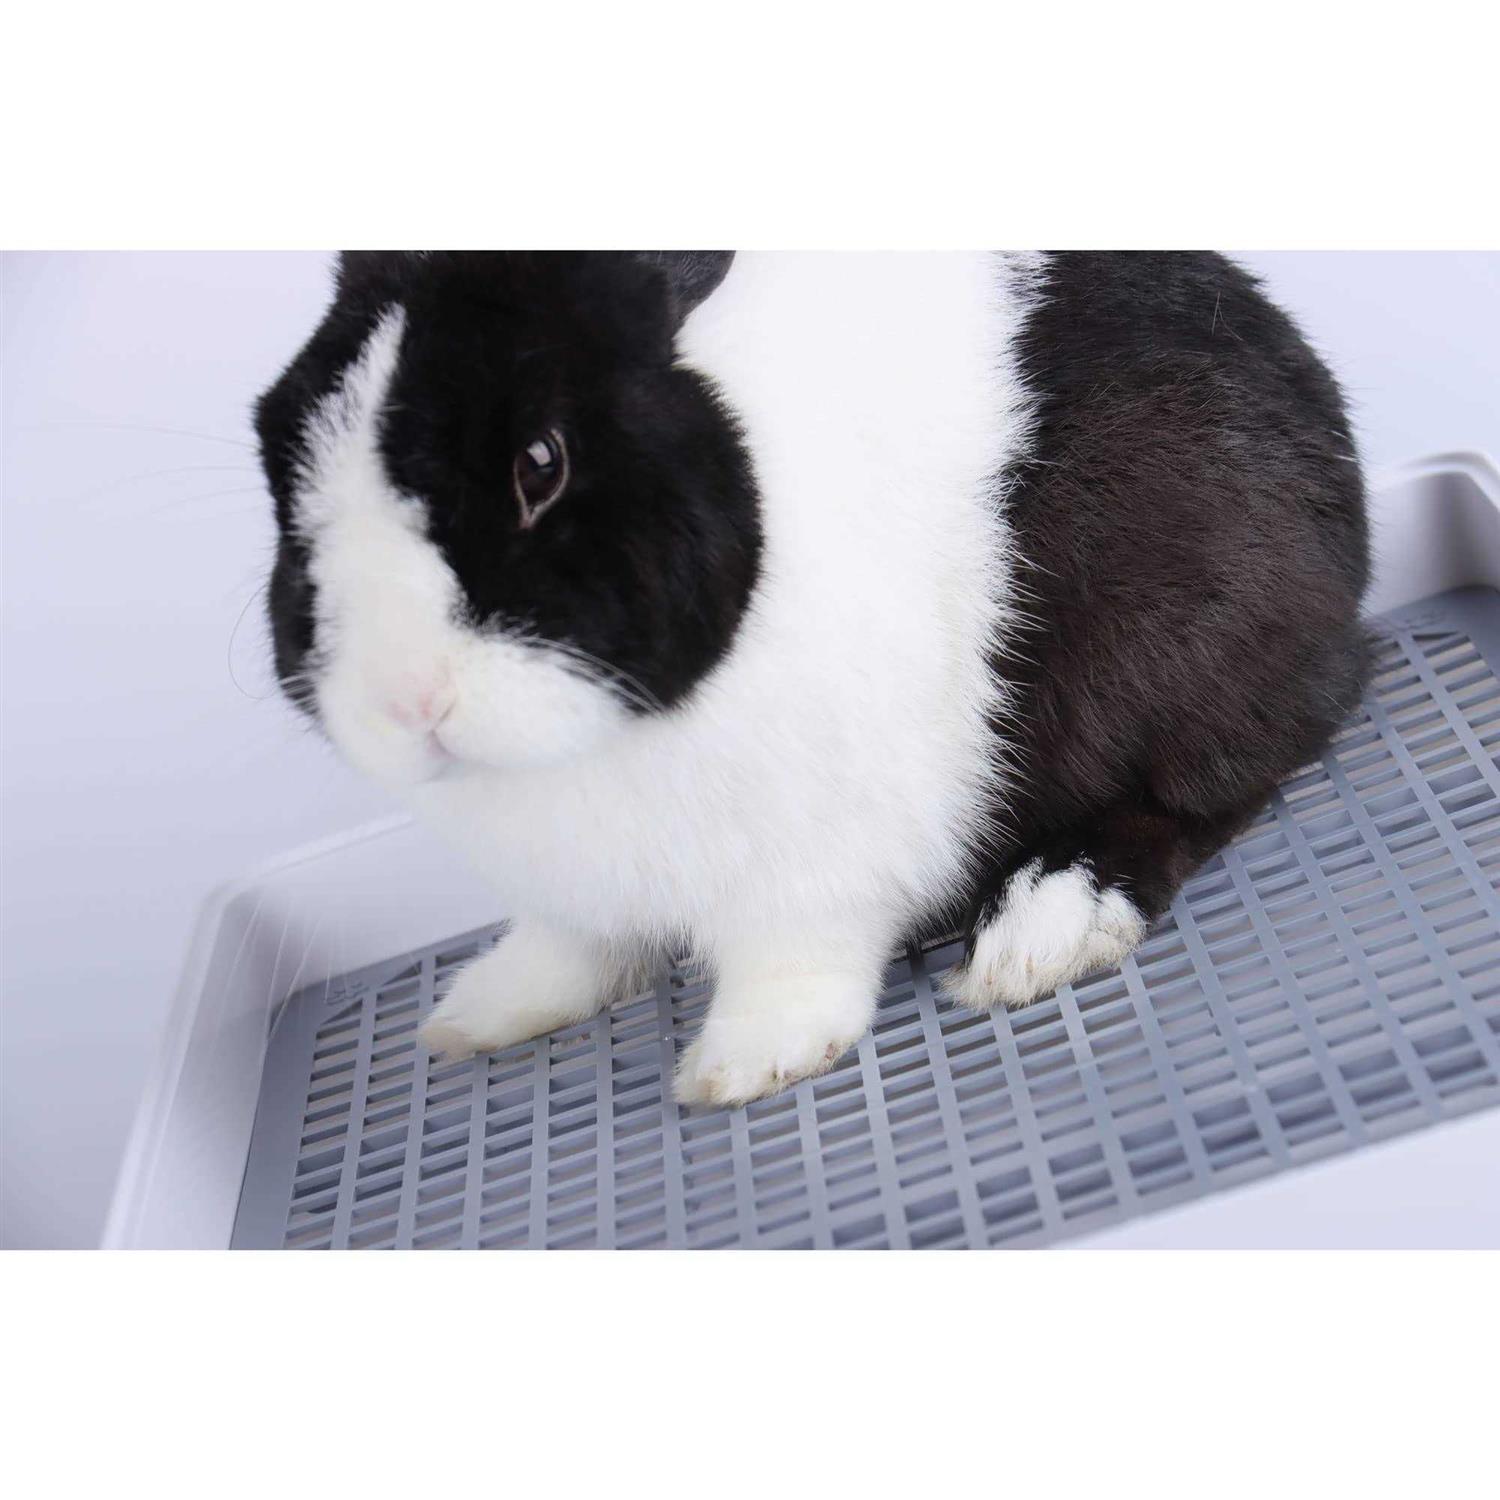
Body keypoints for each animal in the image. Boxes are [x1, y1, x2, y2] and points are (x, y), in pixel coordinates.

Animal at [255, 251, 1369, 1106]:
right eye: (283, 446)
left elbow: (791, 958)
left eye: (542, 462)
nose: (406, 697)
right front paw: (479, 1013)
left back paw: (1046, 927)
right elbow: (568, 948)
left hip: (1183, 653)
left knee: (1207, 791)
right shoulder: (578, 897)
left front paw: (746, 1066)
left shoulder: (822, 863)